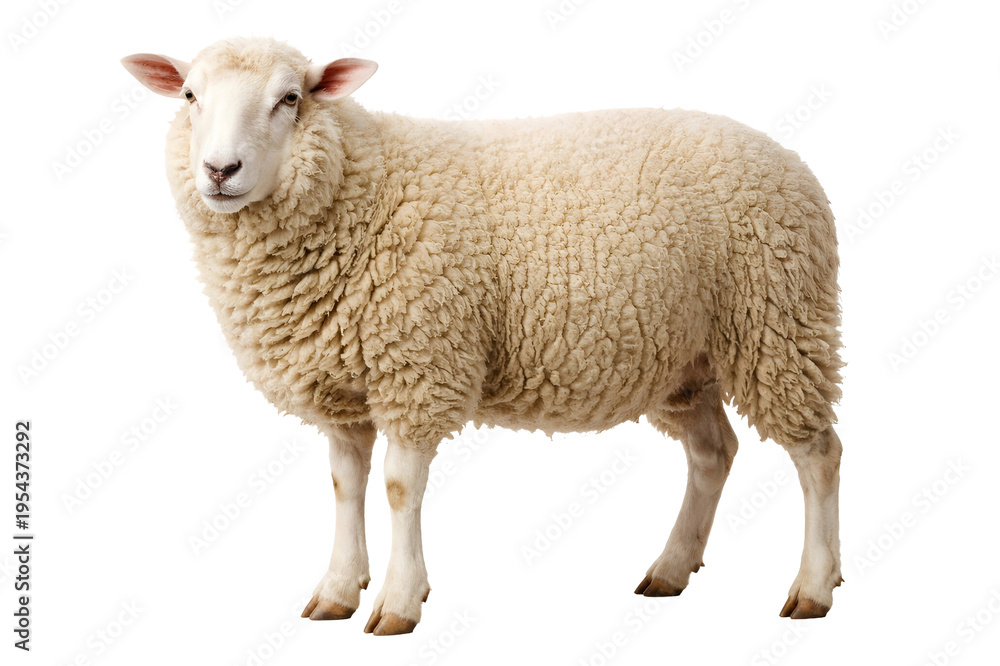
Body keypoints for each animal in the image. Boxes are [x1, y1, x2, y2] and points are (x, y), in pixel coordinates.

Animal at [122, 36, 845, 635]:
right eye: (190, 96)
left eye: (290, 98)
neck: (356, 188)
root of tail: (790, 159)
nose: (220, 170)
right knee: (713, 453)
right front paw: (337, 591)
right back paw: (670, 569)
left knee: (818, 453)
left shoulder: (419, 365)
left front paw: (399, 602)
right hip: (684, 360)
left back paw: (814, 586)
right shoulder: (343, 386)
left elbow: (398, 489)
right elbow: (345, 485)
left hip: (779, 325)